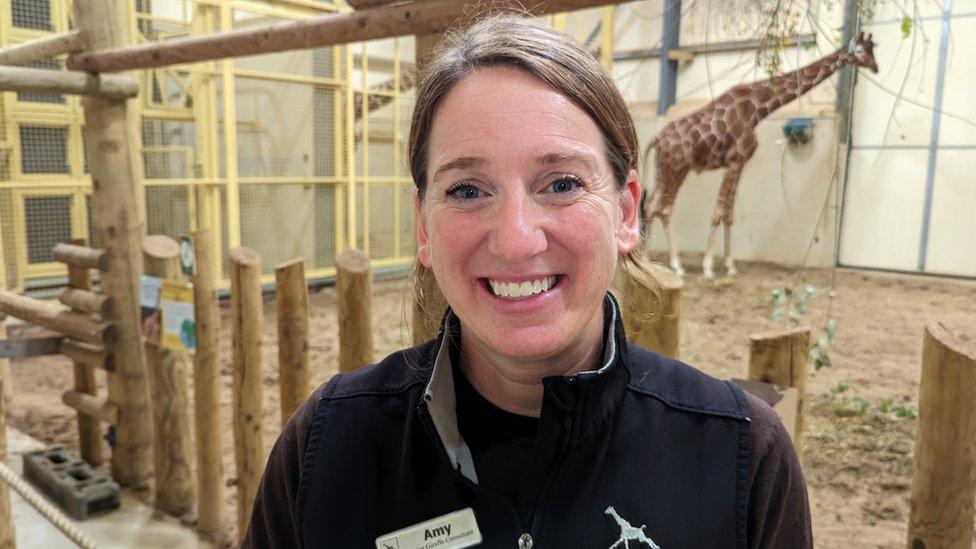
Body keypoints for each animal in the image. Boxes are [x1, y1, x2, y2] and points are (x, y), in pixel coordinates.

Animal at [644, 32, 880, 276]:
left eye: (873, 49)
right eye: (860, 51)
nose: (875, 67)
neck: (757, 109)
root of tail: (656, 139)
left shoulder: (739, 163)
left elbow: (729, 214)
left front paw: (730, 266)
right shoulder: (734, 161)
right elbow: (718, 212)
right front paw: (708, 268)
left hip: (663, 169)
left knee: (650, 207)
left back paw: (646, 260)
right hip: (678, 168)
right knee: (664, 208)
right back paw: (676, 265)